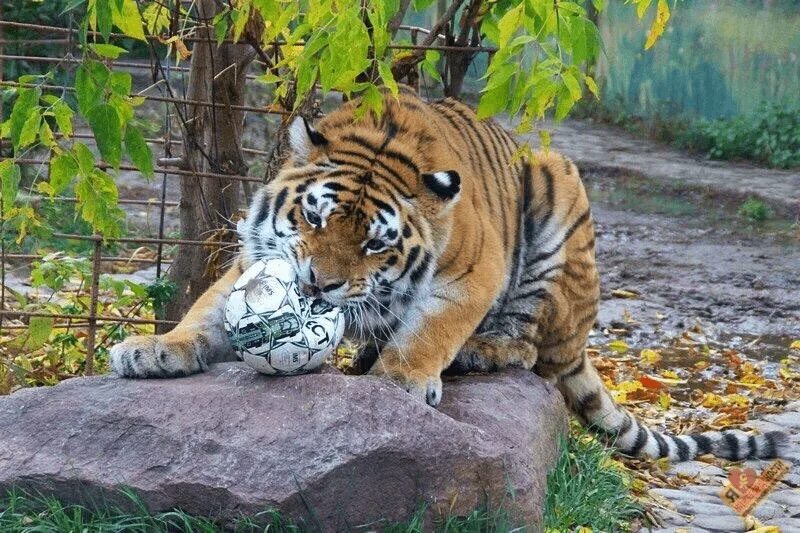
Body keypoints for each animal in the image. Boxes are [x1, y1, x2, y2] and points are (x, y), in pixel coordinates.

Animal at [111, 87, 788, 462]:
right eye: (313, 217)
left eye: (374, 243)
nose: (316, 286)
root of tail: (580, 340)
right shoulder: (257, 258)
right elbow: (206, 310)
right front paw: (154, 349)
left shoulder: (473, 270)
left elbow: (432, 328)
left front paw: (401, 382)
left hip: (557, 194)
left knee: (527, 350)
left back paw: (475, 352)